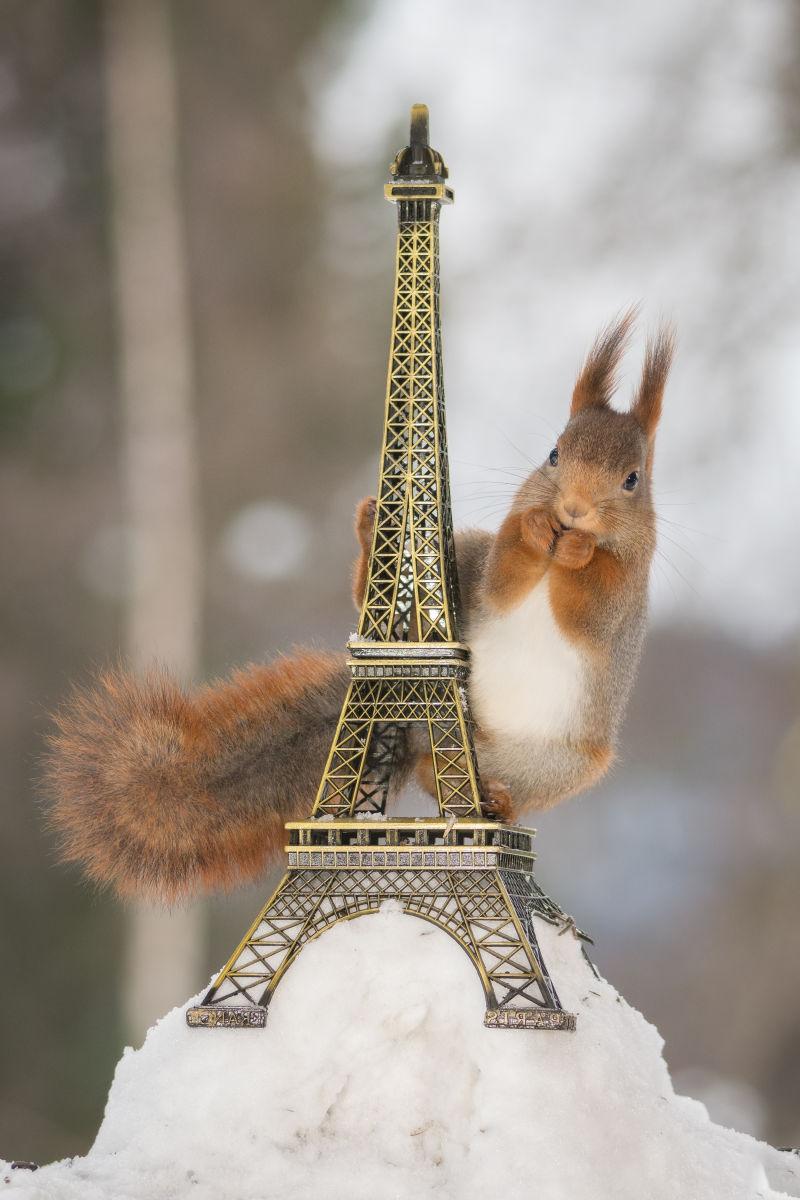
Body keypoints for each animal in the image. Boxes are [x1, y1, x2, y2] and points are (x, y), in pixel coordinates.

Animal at [42, 314, 671, 902]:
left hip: (553, 764)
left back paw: (494, 800)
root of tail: (414, 729)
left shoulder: (625, 597)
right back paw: (374, 536)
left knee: (476, 785)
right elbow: (505, 573)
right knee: (428, 755)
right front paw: (539, 527)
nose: (574, 510)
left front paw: (582, 550)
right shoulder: (499, 564)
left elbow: (590, 605)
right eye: (553, 454)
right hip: (458, 578)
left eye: (633, 480)